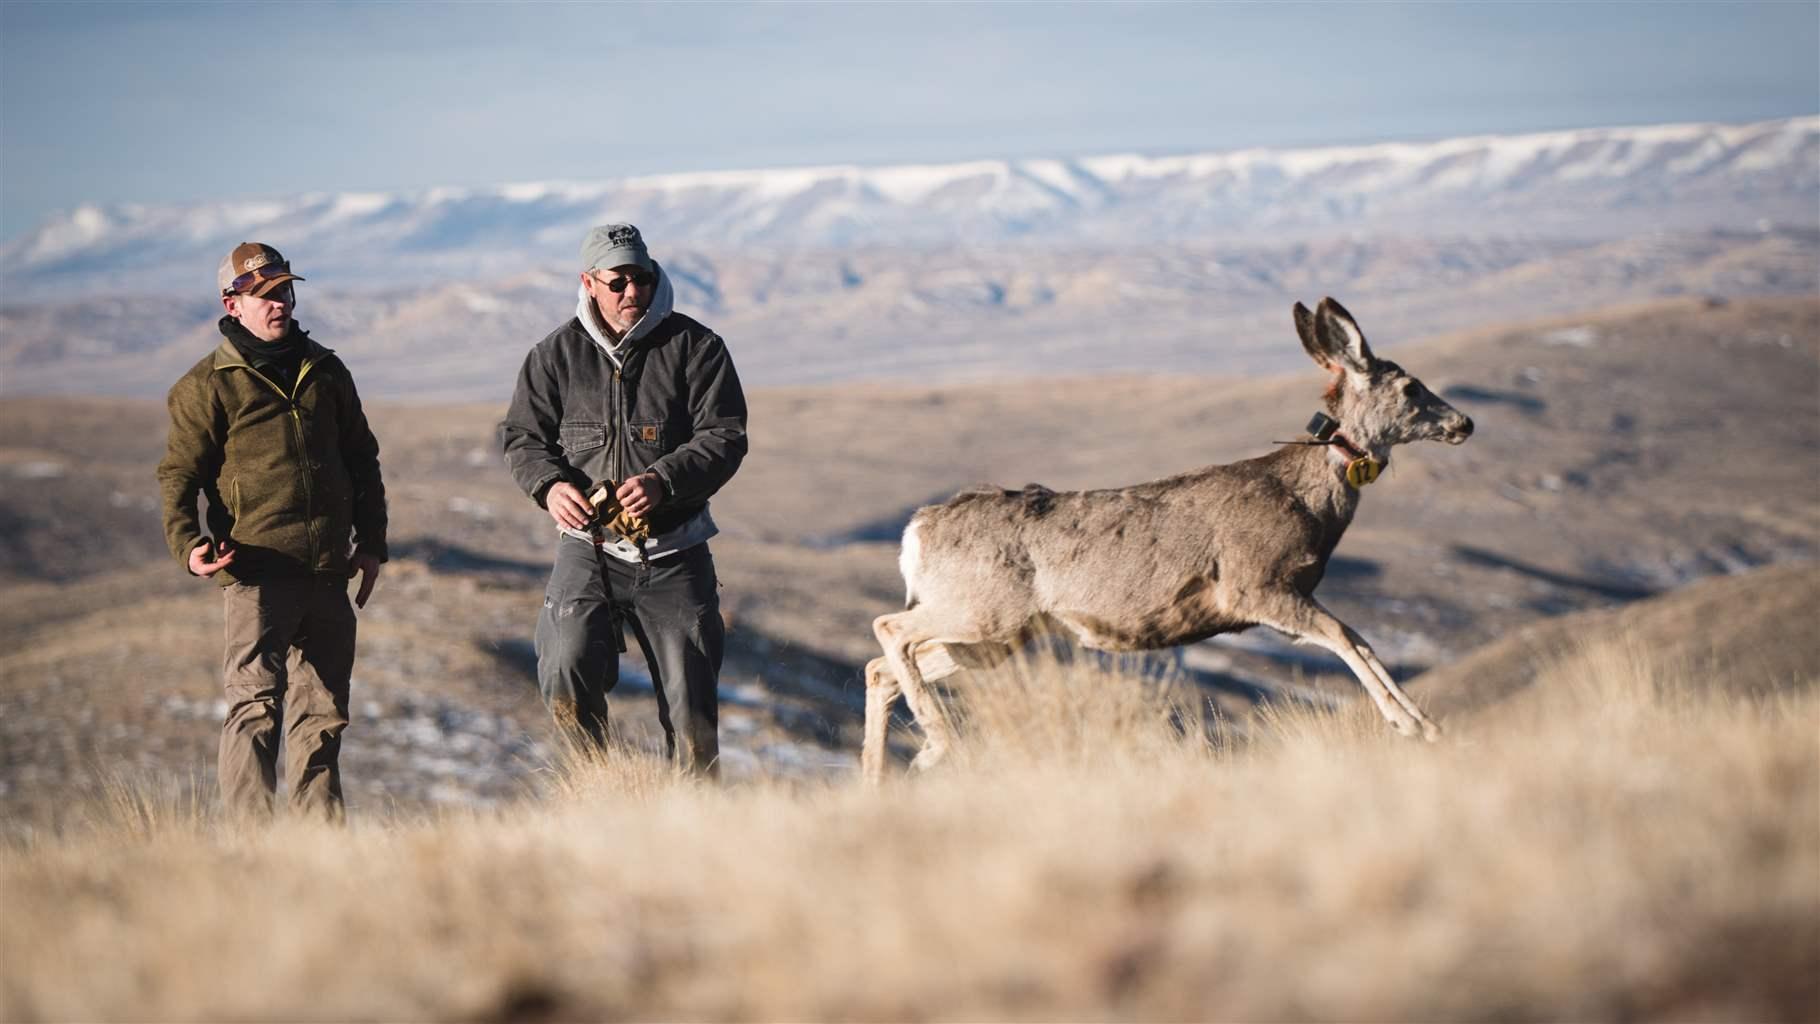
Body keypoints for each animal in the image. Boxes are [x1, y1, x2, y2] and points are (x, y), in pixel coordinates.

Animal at [859, 300, 1470, 782]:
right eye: (1411, 387)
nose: (1464, 423)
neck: (1305, 497)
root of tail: (916, 532)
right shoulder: (1256, 584)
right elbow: (1346, 637)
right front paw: (1415, 725)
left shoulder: (1284, 595)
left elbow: (1359, 640)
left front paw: (1424, 724)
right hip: (982, 608)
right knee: (888, 627)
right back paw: (934, 750)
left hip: (995, 635)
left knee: (880, 668)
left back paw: (879, 782)